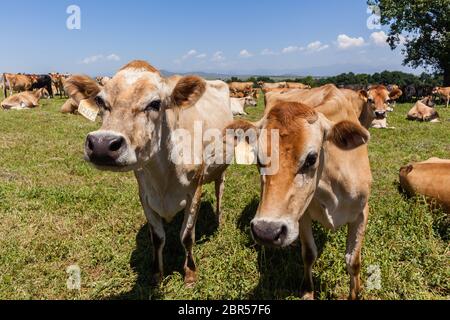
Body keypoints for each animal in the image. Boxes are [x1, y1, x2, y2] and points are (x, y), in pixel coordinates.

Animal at [225, 95, 372, 300]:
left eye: (311, 158)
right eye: (259, 160)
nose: (266, 231)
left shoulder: (362, 212)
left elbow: (353, 261)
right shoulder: (301, 216)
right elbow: (309, 254)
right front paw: (308, 291)